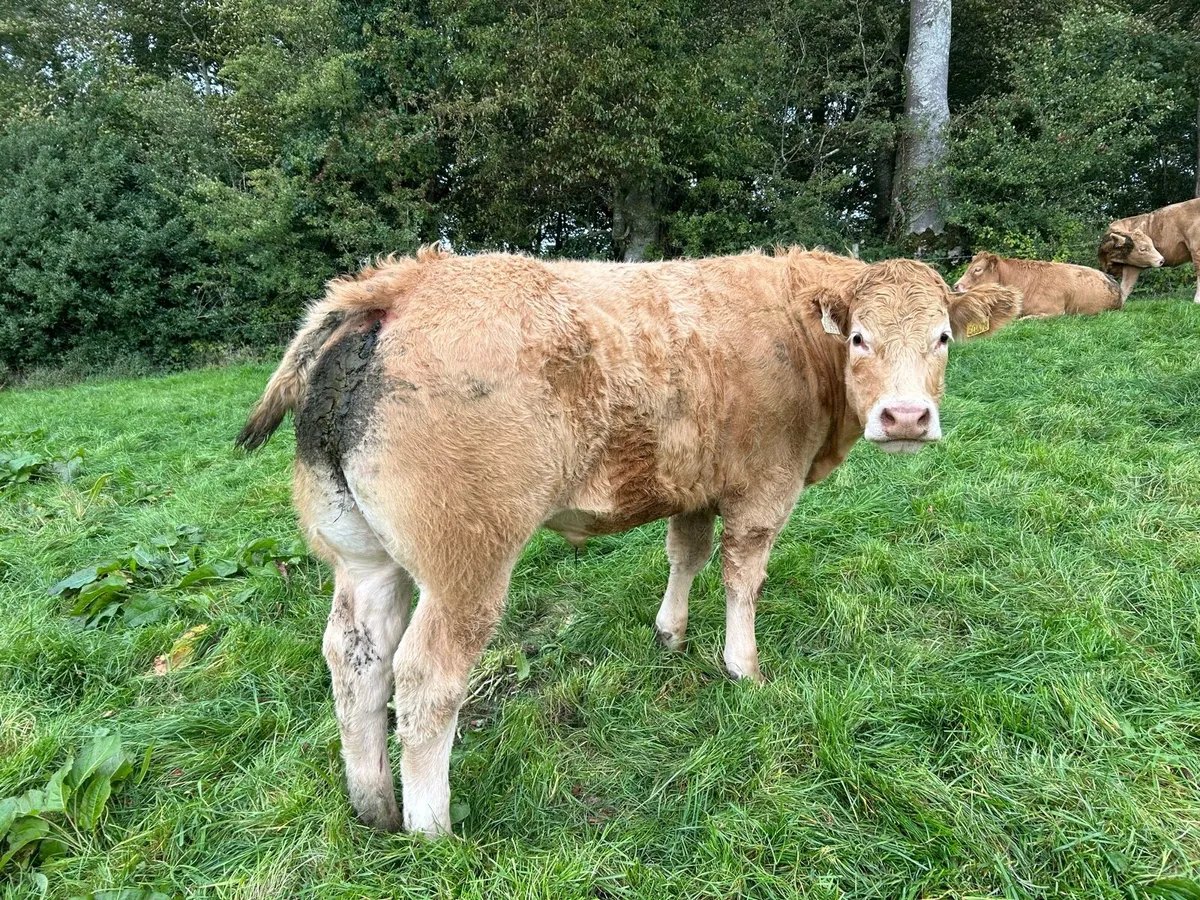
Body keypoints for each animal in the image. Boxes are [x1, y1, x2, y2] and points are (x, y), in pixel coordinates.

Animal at [236, 246, 1021, 837]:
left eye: (943, 338)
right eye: (860, 337)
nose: (906, 416)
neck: (796, 330)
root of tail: (391, 286)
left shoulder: (694, 485)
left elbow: (686, 555)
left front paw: (670, 632)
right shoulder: (764, 489)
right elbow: (742, 578)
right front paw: (742, 666)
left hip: (363, 557)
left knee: (355, 661)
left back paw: (373, 805)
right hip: (468, 562)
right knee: (426, 679)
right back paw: (434, 829)